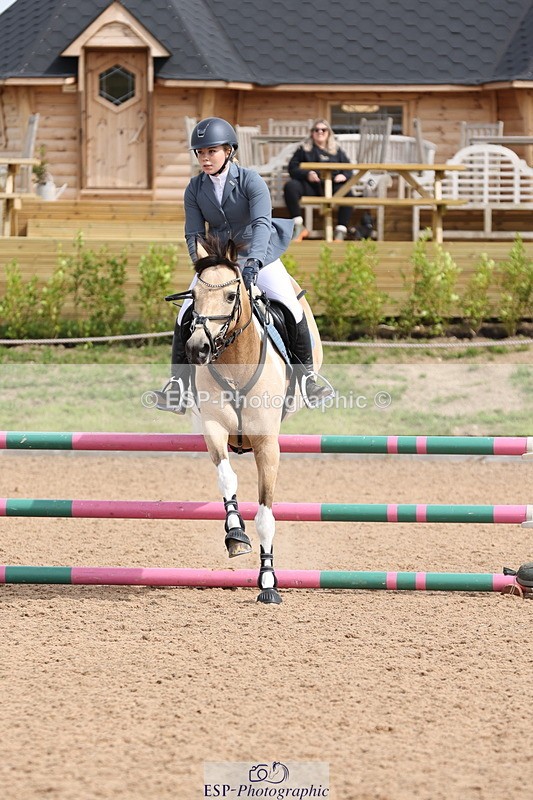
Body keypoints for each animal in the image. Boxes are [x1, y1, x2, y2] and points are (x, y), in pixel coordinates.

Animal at [178, 236, 324, 604]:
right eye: (194, 296)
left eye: (231, 296)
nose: (197, 349)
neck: (235, 362)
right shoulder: (214, 430)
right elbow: (227, 479)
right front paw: (235, 535)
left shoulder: (267, 444)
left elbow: (265, 515)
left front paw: (269, 582)